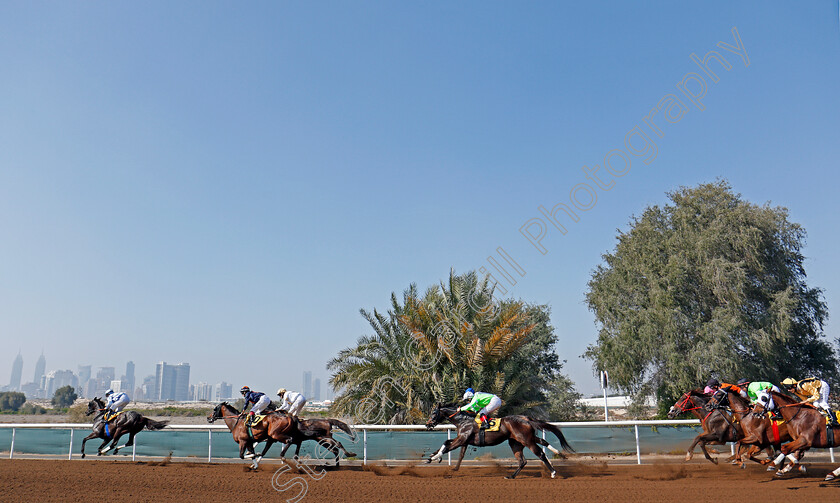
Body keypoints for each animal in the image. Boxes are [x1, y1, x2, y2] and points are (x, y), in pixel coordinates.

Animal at [424, 402, 576, 480]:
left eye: (433, 413)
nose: (427, 424)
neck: (463, 420)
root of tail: (526, 419)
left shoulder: (462, 439)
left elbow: (447, 446)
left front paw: (435, 458)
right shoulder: (464, 440)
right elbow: (449, 445)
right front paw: (432, 457)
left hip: (526, 441)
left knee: (540, 454)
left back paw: (553, 472)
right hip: (517, 442)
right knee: (526, 457)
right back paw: (511, 476)